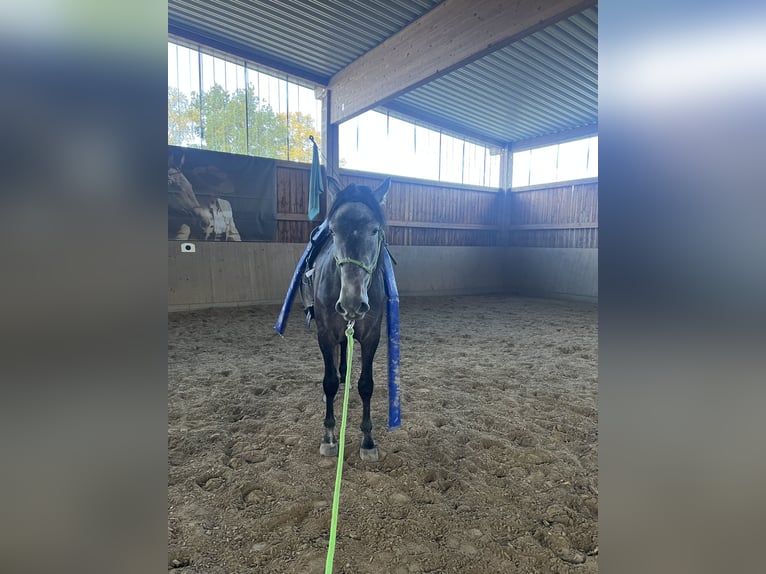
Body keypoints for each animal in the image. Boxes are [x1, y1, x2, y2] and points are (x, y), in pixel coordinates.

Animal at [310, 177, 391, 462]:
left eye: (375, 230)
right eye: (333, 231)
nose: (352, 303)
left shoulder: (371, 336)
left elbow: (366, 385)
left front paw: (367, 440)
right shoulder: (324, 334)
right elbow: (329, 382)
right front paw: (329, 437)